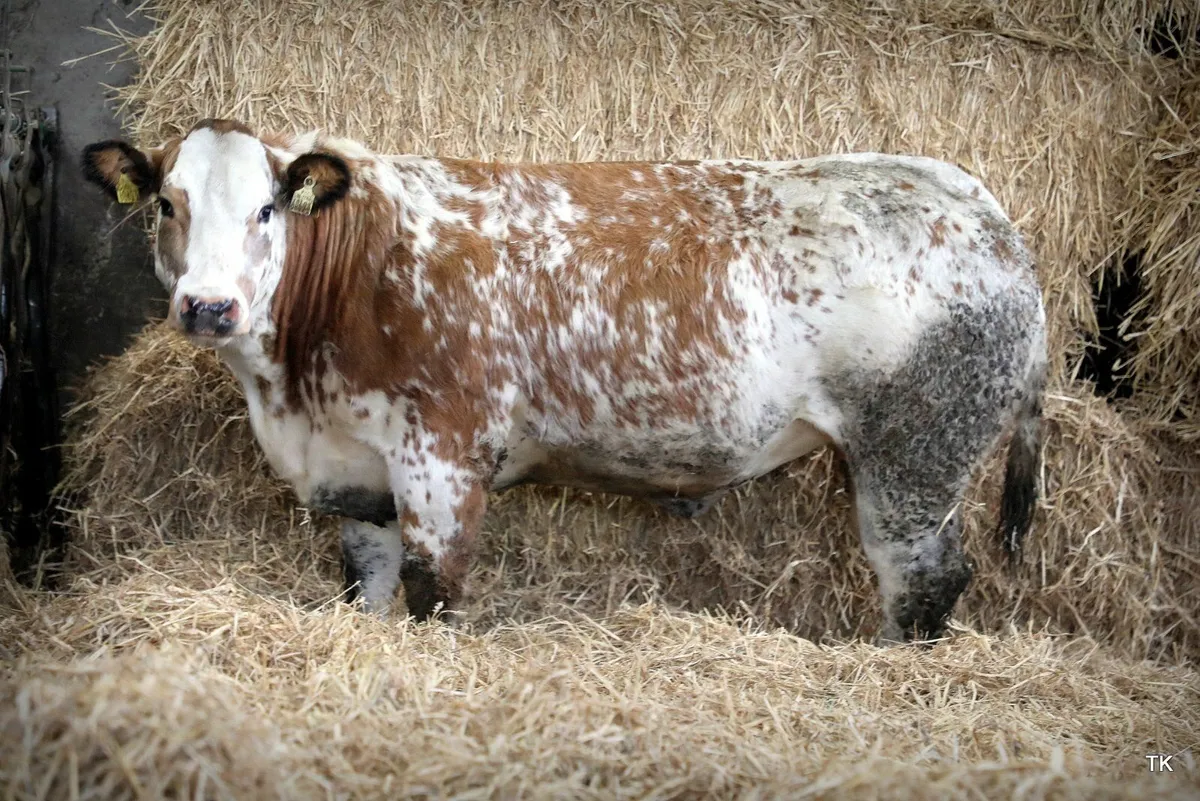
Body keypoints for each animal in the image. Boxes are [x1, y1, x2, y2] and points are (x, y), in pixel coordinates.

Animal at [81, 118, 1046, 645]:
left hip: (914, 458)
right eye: (167, 203)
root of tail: (981, 209)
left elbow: (434, 589)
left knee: (922, 583)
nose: (209, 307)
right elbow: (369, 586)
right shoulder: (360, 475)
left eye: (266, 208)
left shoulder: (442, 458)